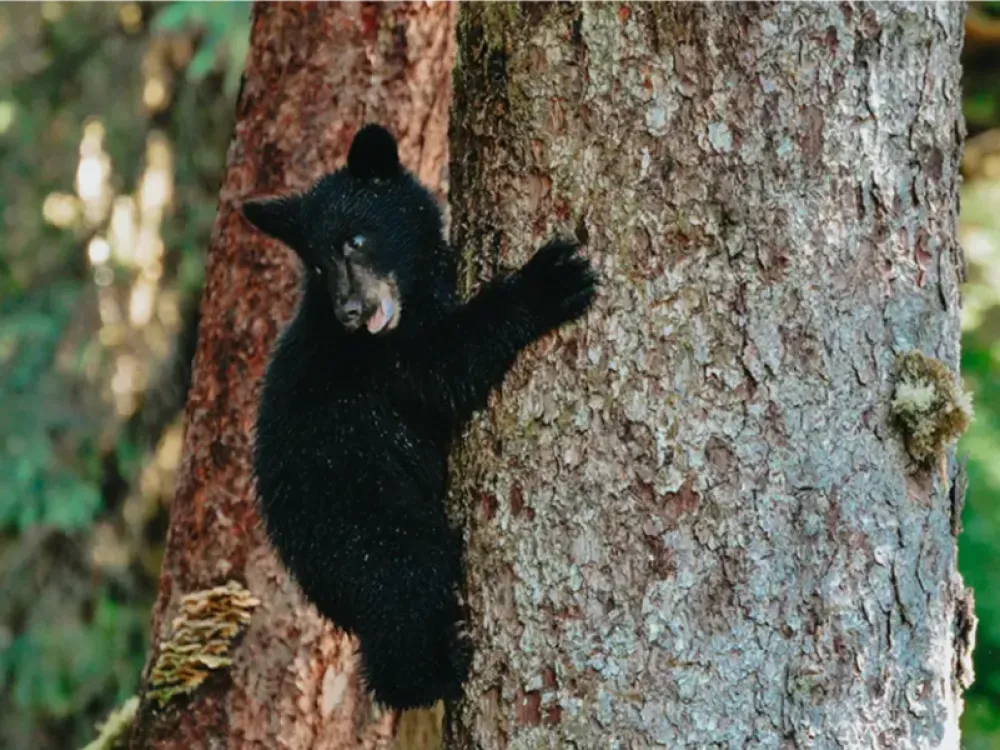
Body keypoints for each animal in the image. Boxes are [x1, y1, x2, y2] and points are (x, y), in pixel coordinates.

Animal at [242, 124, 597, 711]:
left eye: (354, 240)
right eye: (316, 264)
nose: (349, 312)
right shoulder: (387, 364)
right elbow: (449, 365)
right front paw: (551, 280)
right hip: (373, 531)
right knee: (407, 599)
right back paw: (438, 671)